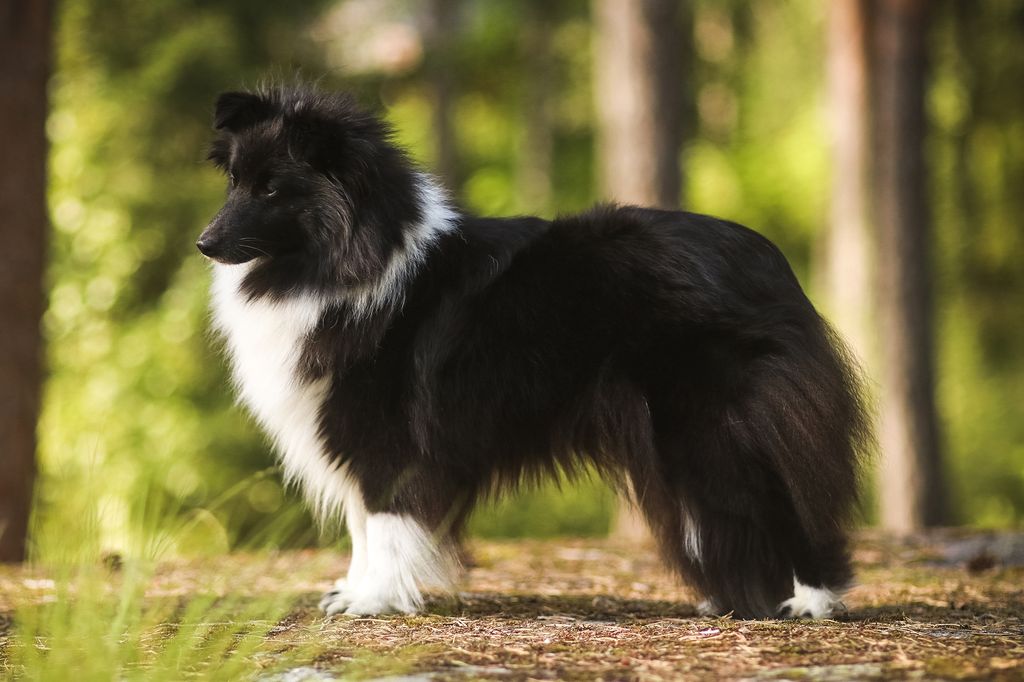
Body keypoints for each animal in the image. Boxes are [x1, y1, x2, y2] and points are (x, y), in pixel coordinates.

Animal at [195, 84, 868, 614]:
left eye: (274, 190)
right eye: (233, 182)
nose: (205, 242)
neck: (353, 254)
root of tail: (770, 262)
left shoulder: (383, 436)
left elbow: (383, 522)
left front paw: (373, 601)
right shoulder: (349, 435)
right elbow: (363, 526)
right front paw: (353, 591)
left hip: (711, 427)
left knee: (786, 499)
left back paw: (811, 600)